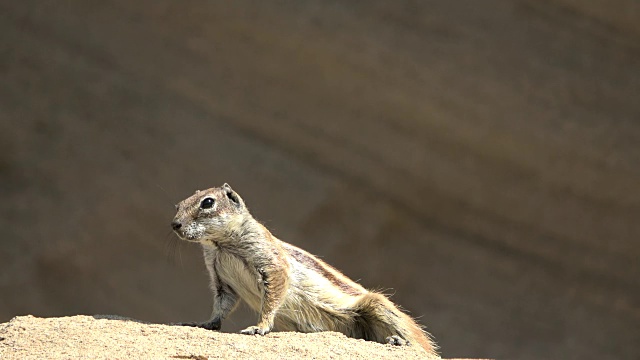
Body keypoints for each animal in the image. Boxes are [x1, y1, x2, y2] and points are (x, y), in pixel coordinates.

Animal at [170, 183, 438, 354]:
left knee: (421, 346)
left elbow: (272, 297)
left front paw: (259, 327)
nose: (175, 224)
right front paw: (205, 323)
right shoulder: (221, 280)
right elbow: (221, 306)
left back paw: (400, 342)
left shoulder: (273, 265)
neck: (221, 245)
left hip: (379, 305)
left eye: (207, 203)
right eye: (178, 205)